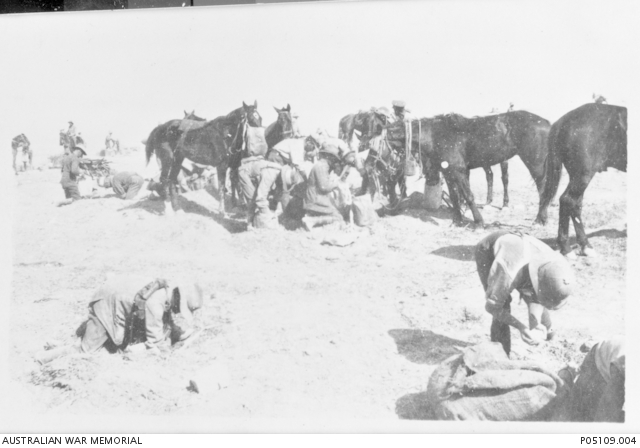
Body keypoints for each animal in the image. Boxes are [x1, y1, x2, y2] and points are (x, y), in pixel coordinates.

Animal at [384, 110, 551, 227]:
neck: (438, 135)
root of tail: (547, 123)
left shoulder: (459, 172)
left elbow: (468, 196)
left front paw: (478, 222)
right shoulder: (449, 173)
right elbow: (454, 197)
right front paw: (457, 220)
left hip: (535, 165)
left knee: (543, 191)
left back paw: (540, 219)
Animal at [535, 103, 627, 257]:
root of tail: (561, 122)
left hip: (577, 176)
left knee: (575, 205)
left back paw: (584, 245)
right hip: (583, 175)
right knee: (567, 201)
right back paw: (566, 248)